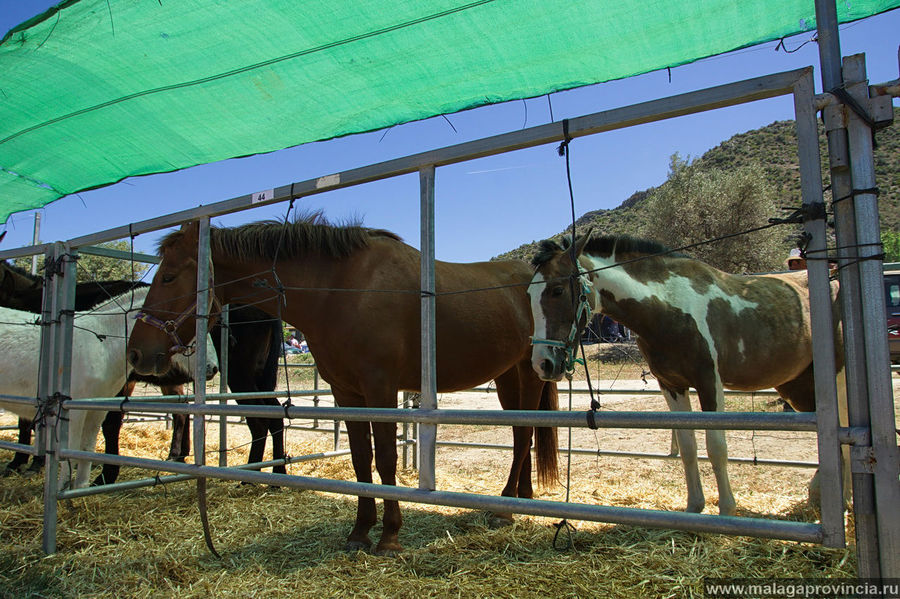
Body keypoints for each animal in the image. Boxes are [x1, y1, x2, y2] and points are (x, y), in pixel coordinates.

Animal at [0, 288, 216, 490]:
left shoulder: (97, 409)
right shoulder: (73, 410)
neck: (103, 346)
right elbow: (70, 450)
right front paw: (63, 489)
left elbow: (86, 449)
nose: (212, 368)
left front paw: (80, 488)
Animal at [123, 218, 560, 556]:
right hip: (507, 376)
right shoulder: (347, 394)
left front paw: (389, 537)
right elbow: (361, 460)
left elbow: (386, 459)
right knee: (523, 432)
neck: (343, 289)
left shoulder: (380, 390)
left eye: (168, 276)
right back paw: (520, 497)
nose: (136, 353)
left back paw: (505, 507)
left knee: (524, 435)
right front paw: (360, 533)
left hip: (529, 372)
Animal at [528, 234, 844, 516]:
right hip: (797, 385)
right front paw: (695, 507)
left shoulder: (709, 383)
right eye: (529, 294)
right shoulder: (672, 385)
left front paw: (727, 510)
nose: (542, 363)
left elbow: (716, 447)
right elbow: (688, 446)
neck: (670, 307)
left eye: (557, 290)